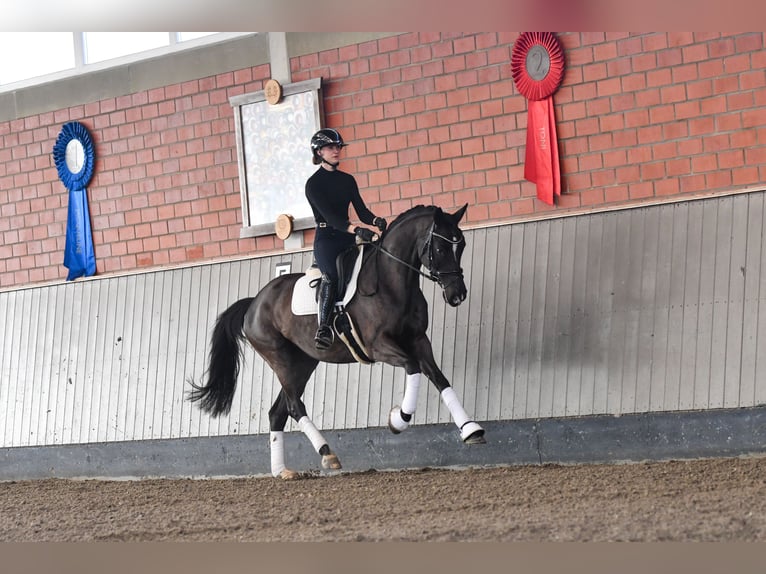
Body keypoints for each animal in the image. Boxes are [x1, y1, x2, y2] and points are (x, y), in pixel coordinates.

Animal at [192, 205, 488, 480]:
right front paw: (398, 420)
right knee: (294, 406)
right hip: (280, 360)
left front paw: (471, 430)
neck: (392, 282)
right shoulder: (379, 346)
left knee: (278, 411)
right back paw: (327, 453)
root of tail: (254, 302)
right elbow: (413, 367)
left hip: (303, 363)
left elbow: (439, 378)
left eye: (461, 244)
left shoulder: (418, 340)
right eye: (440, 247)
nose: (458, 294)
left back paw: (282, 471)